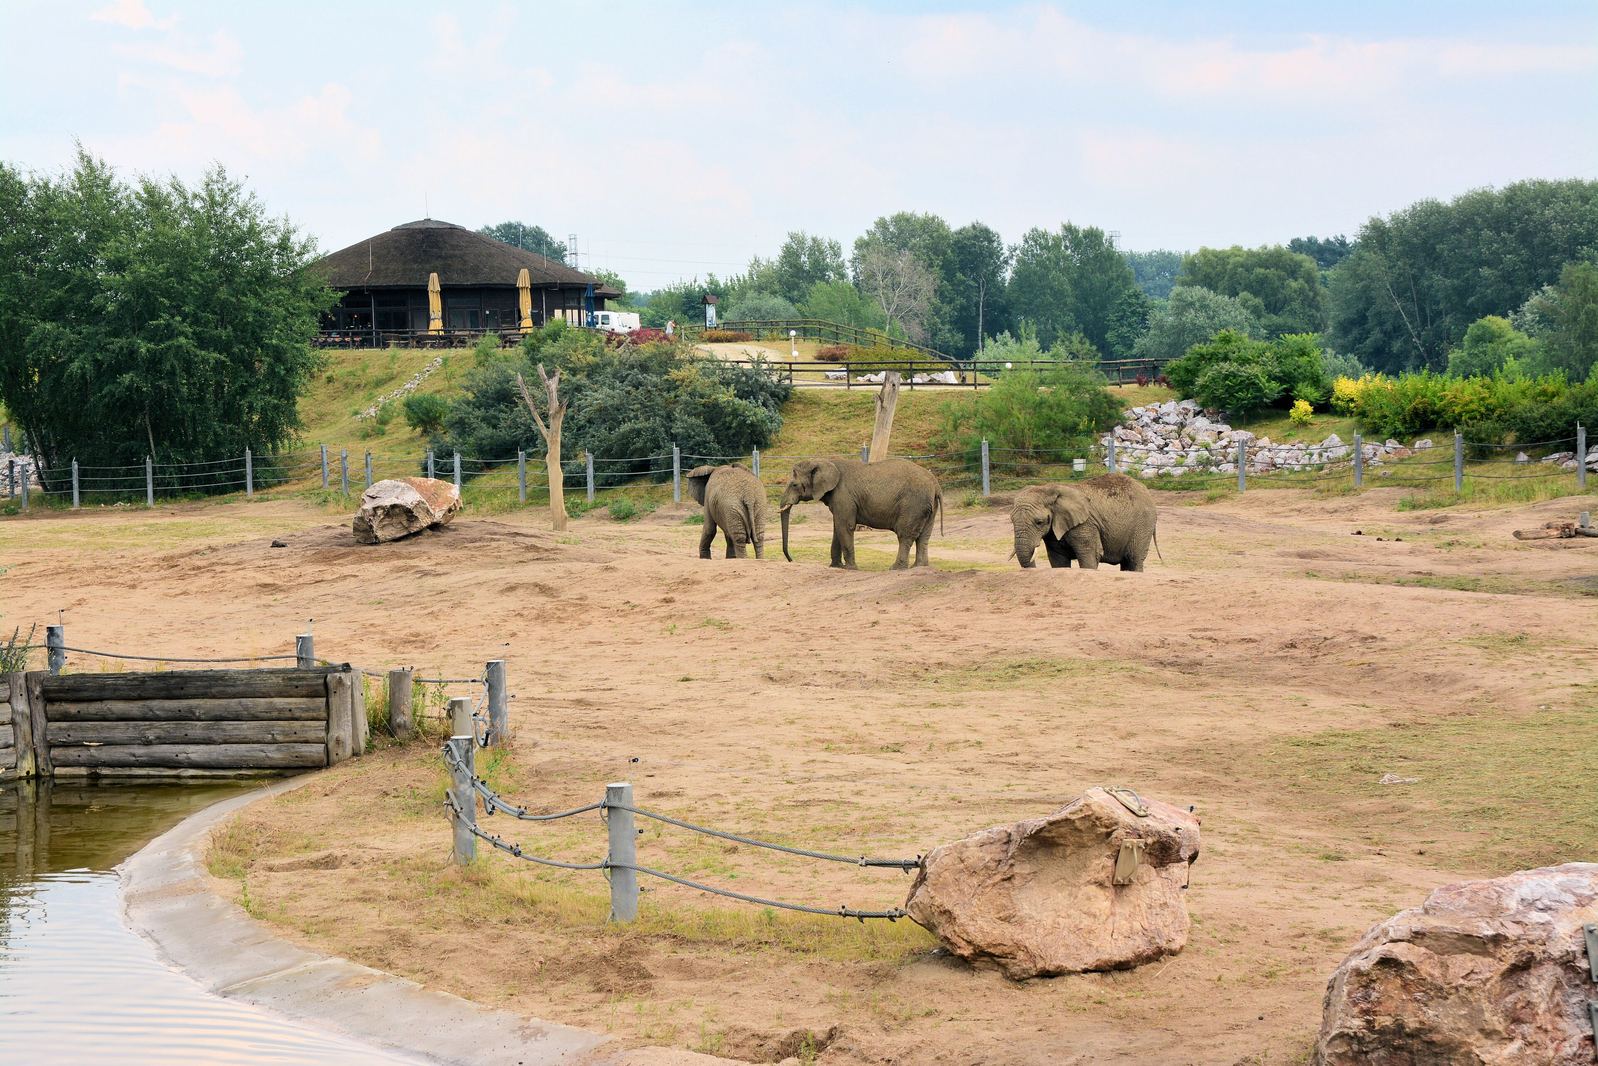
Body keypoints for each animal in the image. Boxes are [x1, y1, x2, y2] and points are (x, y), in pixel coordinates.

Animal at [780, 458, 943, 569]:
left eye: (794, 484)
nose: (791, 560)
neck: (825, 461)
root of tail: (936, 485)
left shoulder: (843, 495)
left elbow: (845, 526)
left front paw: (850, 569)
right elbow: (837, 528)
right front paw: (836, 567)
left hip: (913, 504)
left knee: (905, 535)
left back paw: (896, 568)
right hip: (928, 506)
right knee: (924, 536)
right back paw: (919, 567)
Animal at [1010, 474, 1160, 570]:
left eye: (1039, 522)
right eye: (1011, 521)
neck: (1048, 489)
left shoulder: (1086, 524)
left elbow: (1090, 555)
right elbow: (1058, 560)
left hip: (1144, 523)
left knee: (1134, 559)